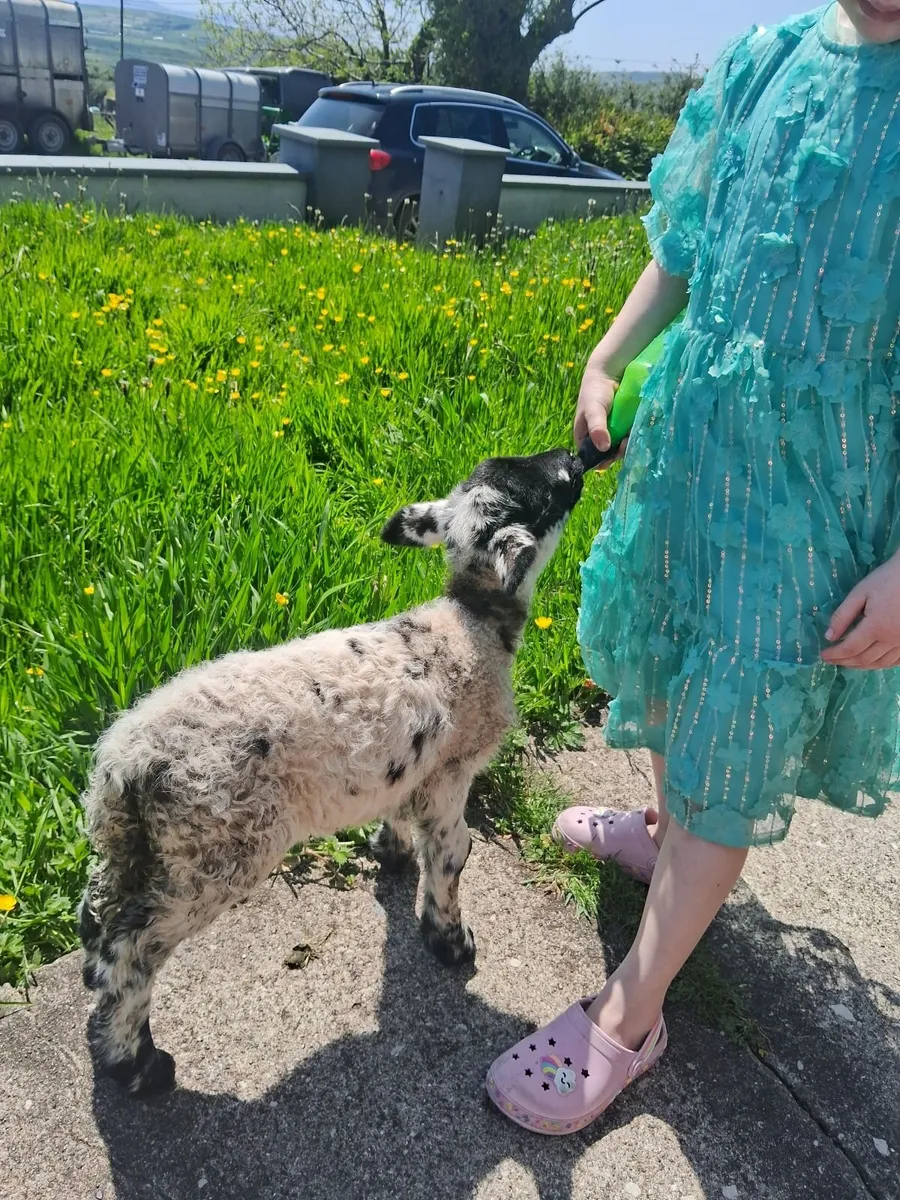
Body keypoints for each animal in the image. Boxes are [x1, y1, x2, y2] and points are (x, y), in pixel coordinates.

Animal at [79, 447, 585, 1098]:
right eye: (551, 490)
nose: (576, 455)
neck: (470, 621)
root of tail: (123, 763)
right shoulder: (451, 772)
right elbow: (453, 856)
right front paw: (450, 942)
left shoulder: (412, 764)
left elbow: (401, 815)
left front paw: (391, 854)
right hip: (214, 850)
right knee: (132, 954)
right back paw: (137, 1065)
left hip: (134, 844)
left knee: (99, 918)